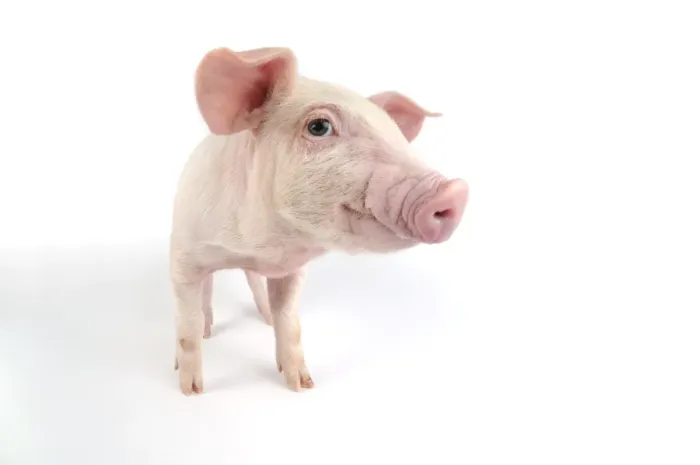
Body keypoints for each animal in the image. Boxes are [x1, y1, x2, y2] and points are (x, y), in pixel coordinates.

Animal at [170, 46, 469, 395]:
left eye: (396, 134)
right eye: (318, 127)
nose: (455, 191)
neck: (262, 248)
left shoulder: (292, 270)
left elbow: (289, 319)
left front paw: (303, 385)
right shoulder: (183, 254)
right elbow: (188, 322)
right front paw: (191, 390)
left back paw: (264, 316)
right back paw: (209, 330)